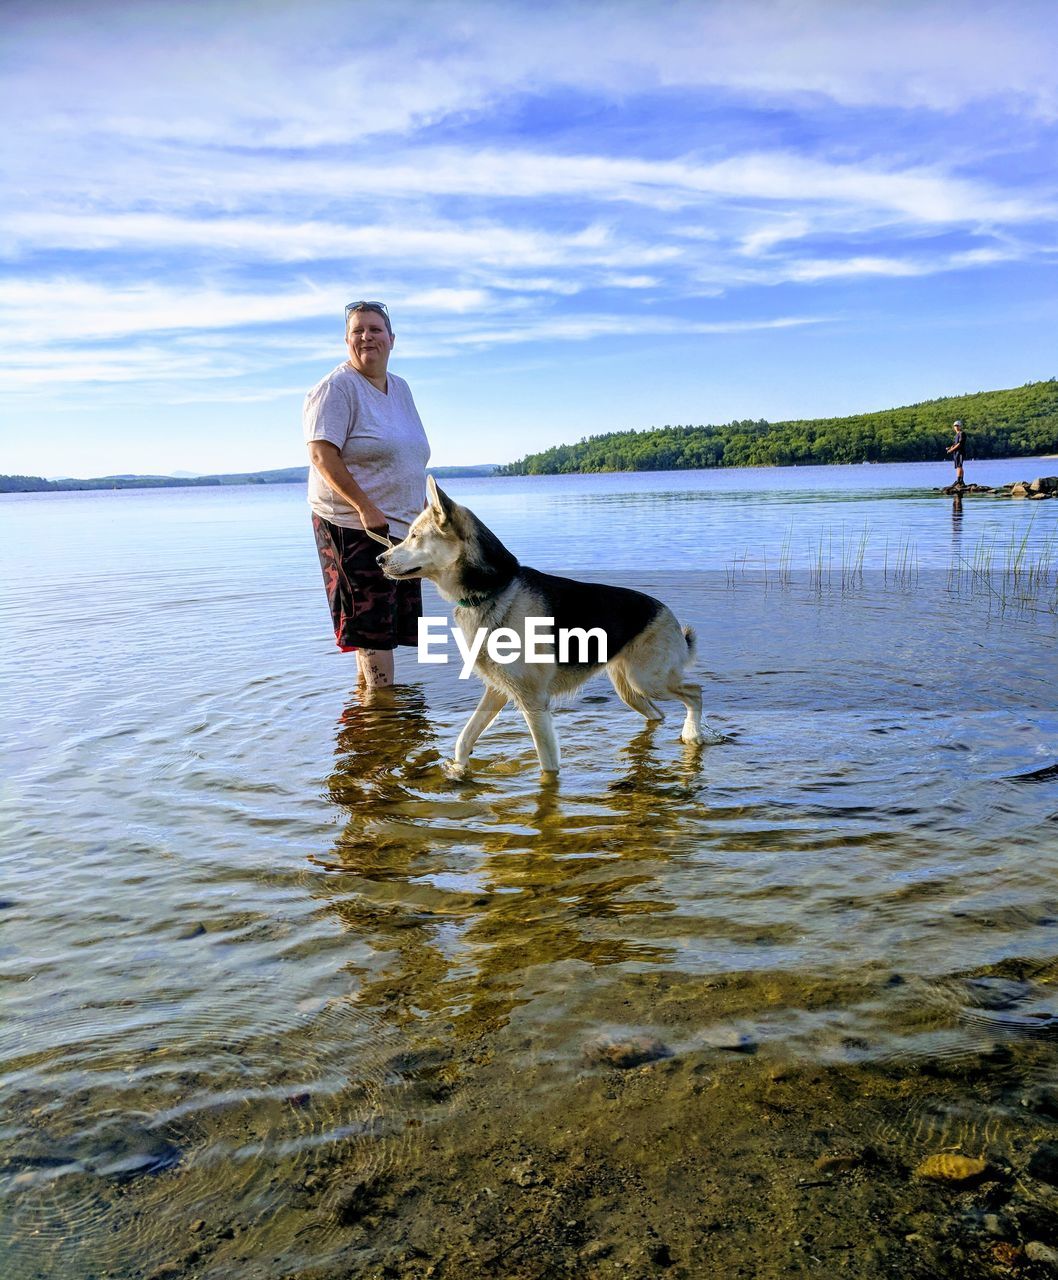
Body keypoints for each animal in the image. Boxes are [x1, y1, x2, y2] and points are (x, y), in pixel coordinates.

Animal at [376, 478, 726, 773]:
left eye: (414, 536)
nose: (380, 559)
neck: (494, 591)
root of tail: (667, 613)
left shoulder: (533, 703)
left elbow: (547, 766)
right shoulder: (497, 692)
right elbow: (464, 739)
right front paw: (456, 772)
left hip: (648, 680)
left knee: (695, 693)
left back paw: (692, 734)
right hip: (631, 689)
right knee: (659, 713)